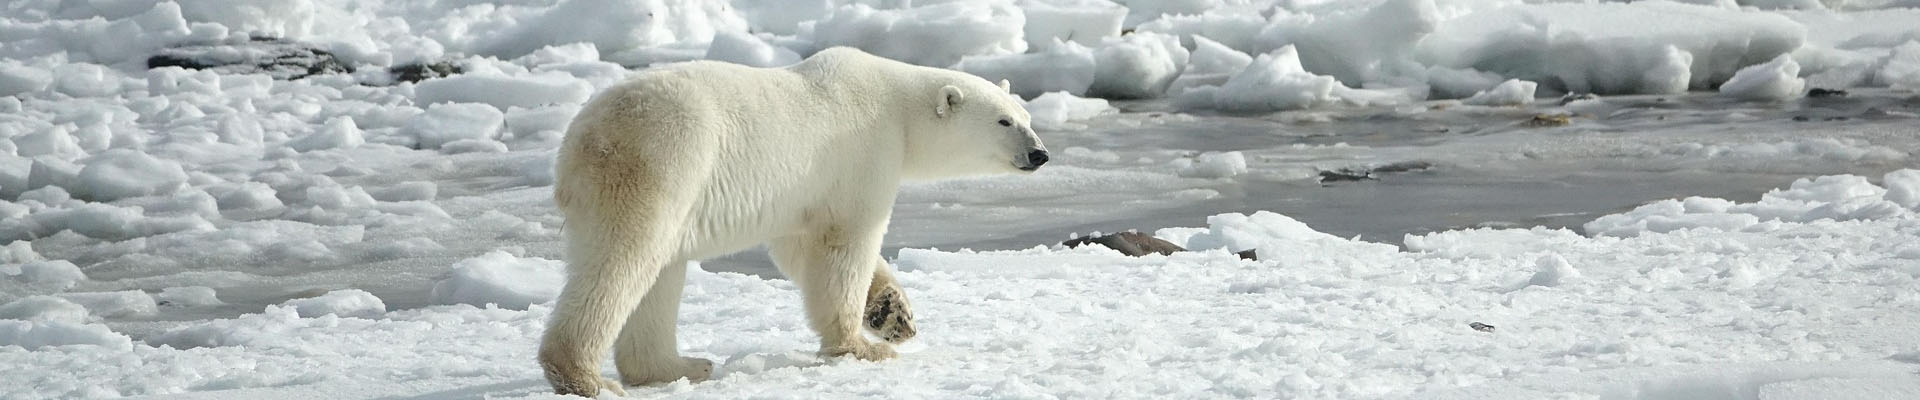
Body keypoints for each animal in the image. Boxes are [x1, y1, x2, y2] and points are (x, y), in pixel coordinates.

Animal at [539, 47, 1050, 396]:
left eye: (1026, 115)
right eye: (1004, 122)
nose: (1040, 154)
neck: (897, 107)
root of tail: (581, 140)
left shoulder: (803, 193)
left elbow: (800, 247)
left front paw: (893, 315)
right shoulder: (862, 153)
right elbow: (846, 243)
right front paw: (863, 345)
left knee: (660, 272)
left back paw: (681, 366)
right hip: (662, 161)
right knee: (625, 260)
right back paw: (586, 377)